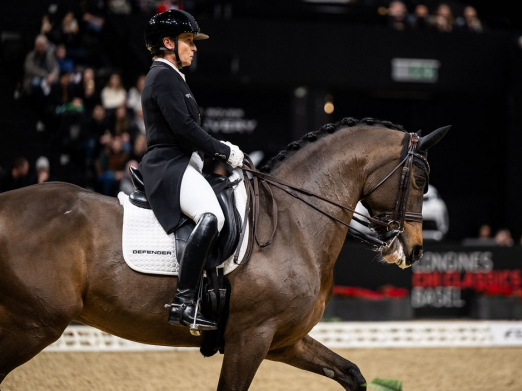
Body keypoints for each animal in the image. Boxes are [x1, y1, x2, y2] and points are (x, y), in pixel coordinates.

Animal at [0, 119, 446, 391]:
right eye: (420, 180)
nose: (414, 249)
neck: (294, 222)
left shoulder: (284, 340)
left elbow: (352, 373)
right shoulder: (251, 337)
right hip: (35, 324)